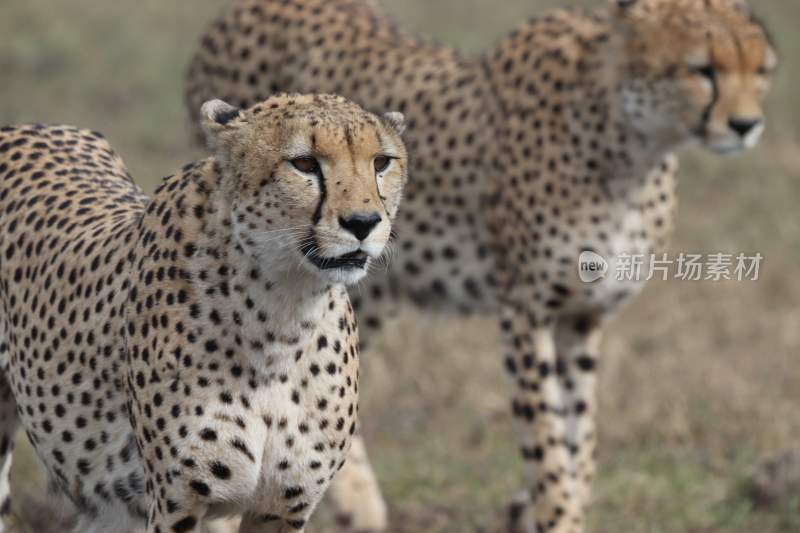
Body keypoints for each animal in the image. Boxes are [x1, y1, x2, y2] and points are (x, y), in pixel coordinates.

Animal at [0, 94, 406, 532]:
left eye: (381, 162)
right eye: (304, 163)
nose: (363, 223)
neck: (284, 318)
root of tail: (34, 125)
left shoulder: (282, 509)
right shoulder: (181, 505)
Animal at [186, 2, 776, 528]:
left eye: (762, 71)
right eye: (702, 69)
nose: (747, 125)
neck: (633, 146)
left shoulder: (583, 317)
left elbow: (578, 439)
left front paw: (538, 507)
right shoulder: (527, 312)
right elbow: (546, 441)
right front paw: (555, 515)